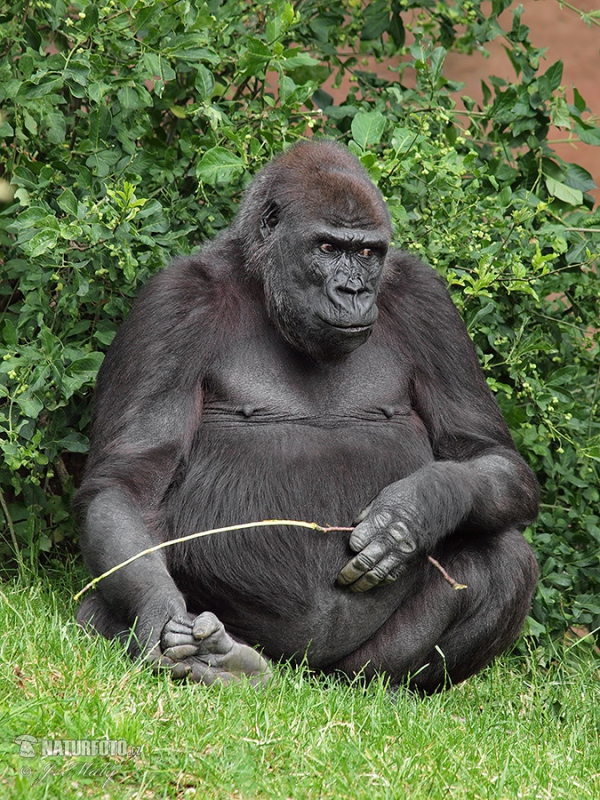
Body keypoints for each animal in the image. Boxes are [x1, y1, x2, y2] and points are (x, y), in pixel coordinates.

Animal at [75, 141, 540, 692]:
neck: (262, 284)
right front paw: (161, 617)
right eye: (327, 248)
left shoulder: (429, 303)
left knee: (504, 560)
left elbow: (487, 453)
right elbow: (128, 481)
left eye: (367, 253)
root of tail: (304, 674)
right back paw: (229, 663)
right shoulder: (172, 304)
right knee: (95, 605)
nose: (354, 292)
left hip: (346, 669)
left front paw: (412, 513)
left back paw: (387, 688)